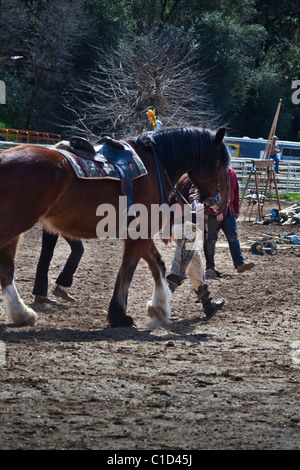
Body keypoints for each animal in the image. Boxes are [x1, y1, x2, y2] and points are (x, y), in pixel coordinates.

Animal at [0, 126, 230, 328]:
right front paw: (119, 316)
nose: (222, 202)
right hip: (13, 226)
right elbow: (127, 270)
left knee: (7, 270)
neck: (156, 164)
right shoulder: (139, 235)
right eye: (222, 164)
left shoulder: (141, 233)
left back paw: (21, 313)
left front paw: (159, 308)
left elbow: (158, 265)